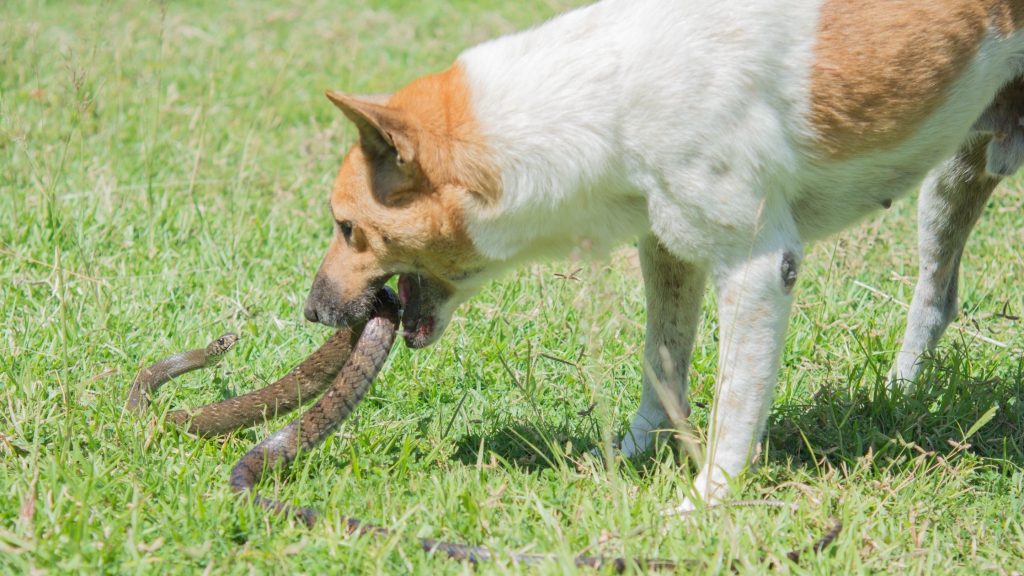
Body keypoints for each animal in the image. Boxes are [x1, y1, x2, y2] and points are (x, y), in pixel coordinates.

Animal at [301, 1, 1024, 510]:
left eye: (346, 228)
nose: (311, 311)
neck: (608, 93)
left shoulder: (758, 270)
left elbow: (735, 399)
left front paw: (708, 500)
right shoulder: (669, 248)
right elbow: (662, 358)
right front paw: (633, 450)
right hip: (953, 177)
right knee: (937, 298)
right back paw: (901, 390)